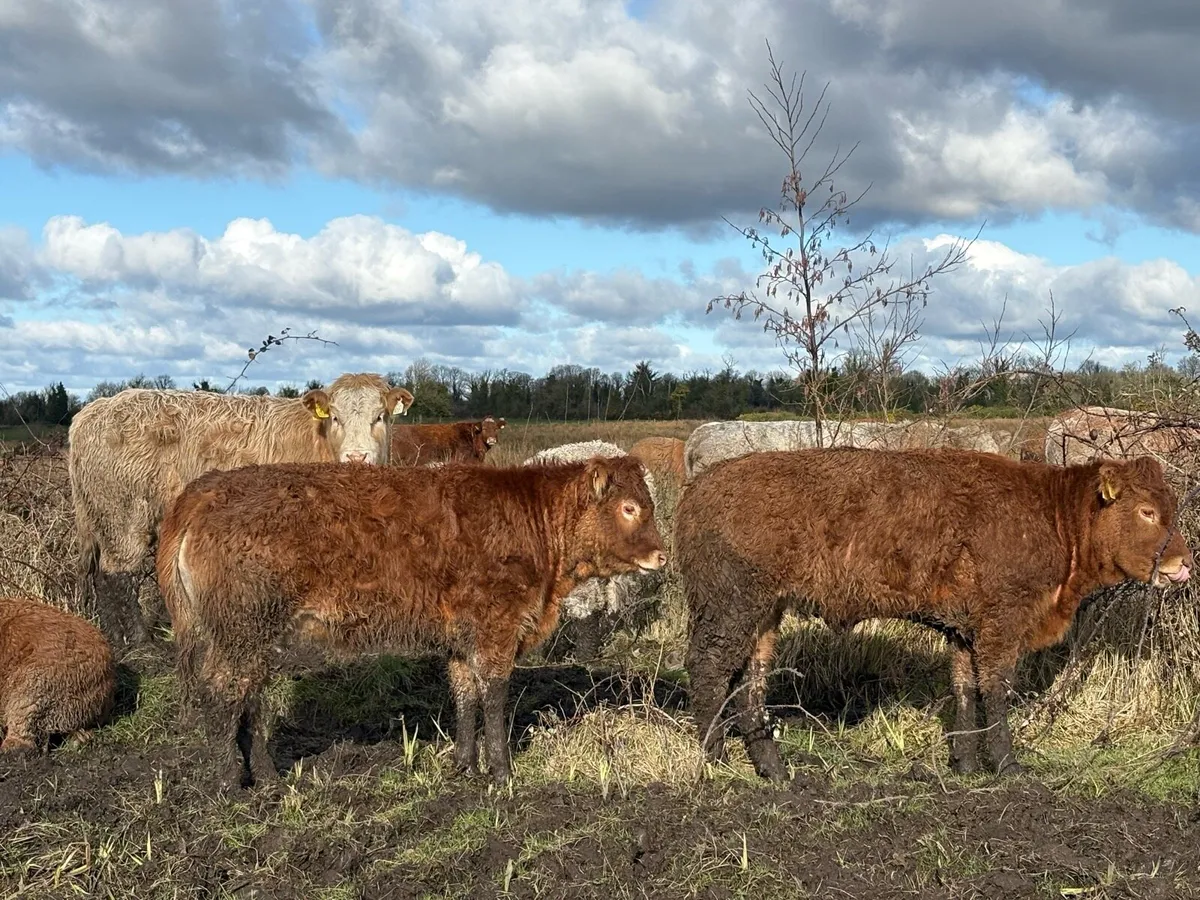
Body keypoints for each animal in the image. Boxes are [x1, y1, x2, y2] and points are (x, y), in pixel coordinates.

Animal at [68, 373, 414, 649]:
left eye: (379, 417)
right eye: (336, 418)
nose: (357, 457)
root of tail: (97, 408)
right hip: (124, 516)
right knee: (117, 575)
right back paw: (140, 640)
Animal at [156, 456, 667, 789]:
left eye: (649, 502)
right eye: (628, 508)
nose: (662, 555)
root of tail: (207, 488)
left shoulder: (462, 639)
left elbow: (465, 696)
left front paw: (464, 764)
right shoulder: (497, 629)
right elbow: (495, 697)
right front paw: (502, 773)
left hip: (248, 635)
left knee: (251, 697)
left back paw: (264, 775)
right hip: (241, 629)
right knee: (226, 692)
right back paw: (233, 781)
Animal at [676, 448, 1192, 781]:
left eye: (1169, 505)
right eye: (1147, 511)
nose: (1184, 563)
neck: (1052, 514)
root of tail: (698, 487)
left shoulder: (965, 631)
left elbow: (964, 691)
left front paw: (965, 763)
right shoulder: (1000, 626)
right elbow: (996, 693)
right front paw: (1008, 765)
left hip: (764, 615)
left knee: (751, 683)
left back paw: (775, 770)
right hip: (732, 608)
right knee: (708, 670)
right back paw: (714, 757)